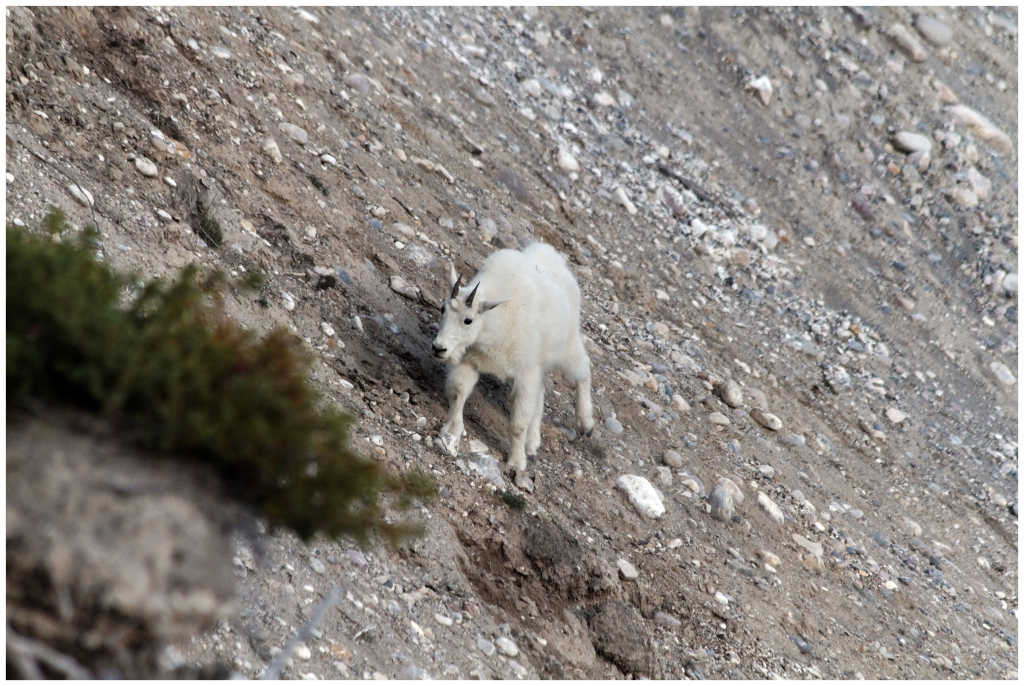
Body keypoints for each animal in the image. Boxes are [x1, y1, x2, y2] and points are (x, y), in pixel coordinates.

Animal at [431, 243, 595, 472]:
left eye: (468, 320)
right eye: (442, 309)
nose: (439, 349)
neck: (494, 322)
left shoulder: (525, 374)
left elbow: (518, 423)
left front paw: (517, 462)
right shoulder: (471, 361)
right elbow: (458, 392)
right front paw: (451, 431)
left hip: (566, 347)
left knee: (583, 370)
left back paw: (586, 424)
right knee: (541, 393)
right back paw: (532, 445)